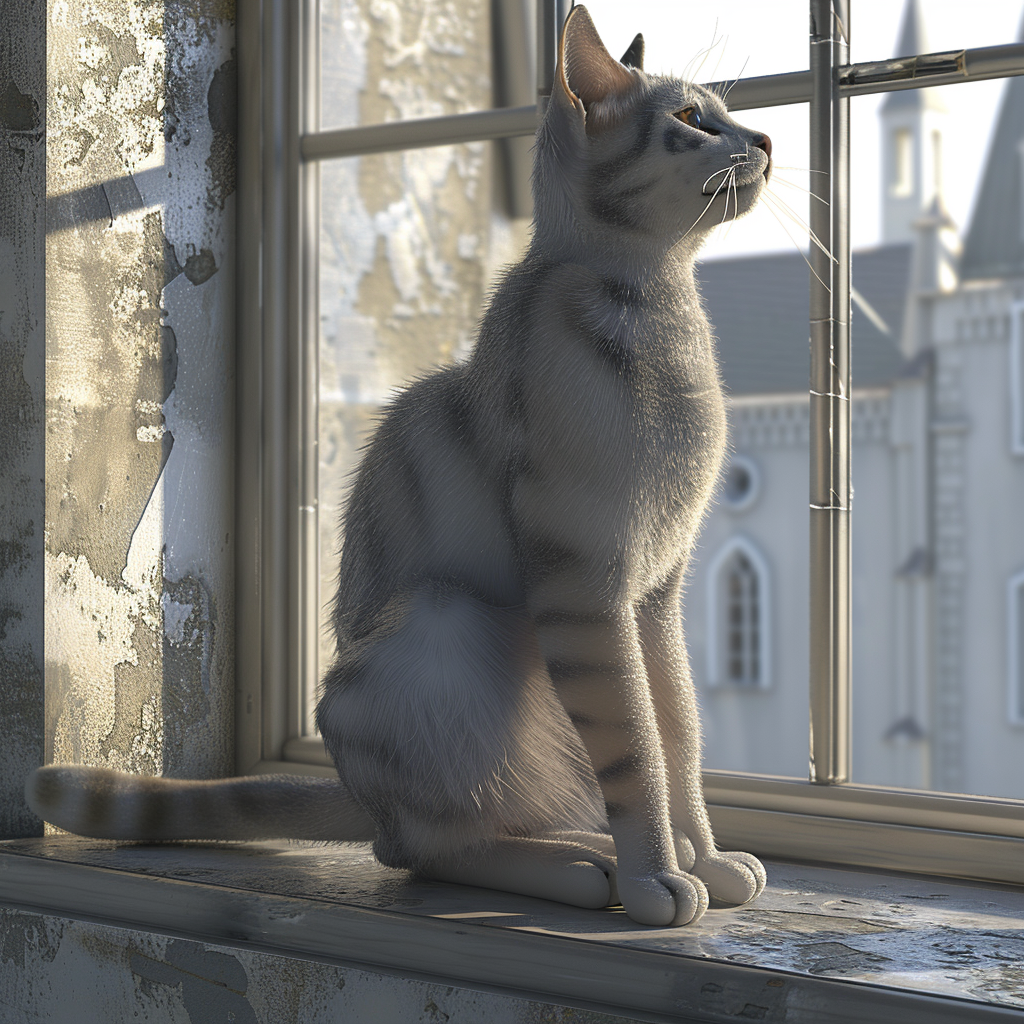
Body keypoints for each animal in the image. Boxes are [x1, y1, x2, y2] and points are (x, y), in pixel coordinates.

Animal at [25, 6, 770, 929]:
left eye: (726, 115)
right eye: (693, 121)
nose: (765, 139)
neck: (661, 311)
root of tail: (357, 791)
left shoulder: (657, 594)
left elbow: (679, 732)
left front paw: (705, 857)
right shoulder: (589, 588)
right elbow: (634, 745)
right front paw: (656, 880)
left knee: (459, 825)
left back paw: (576, 845)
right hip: (447, 626)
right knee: (418, 848)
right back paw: (577, 869)